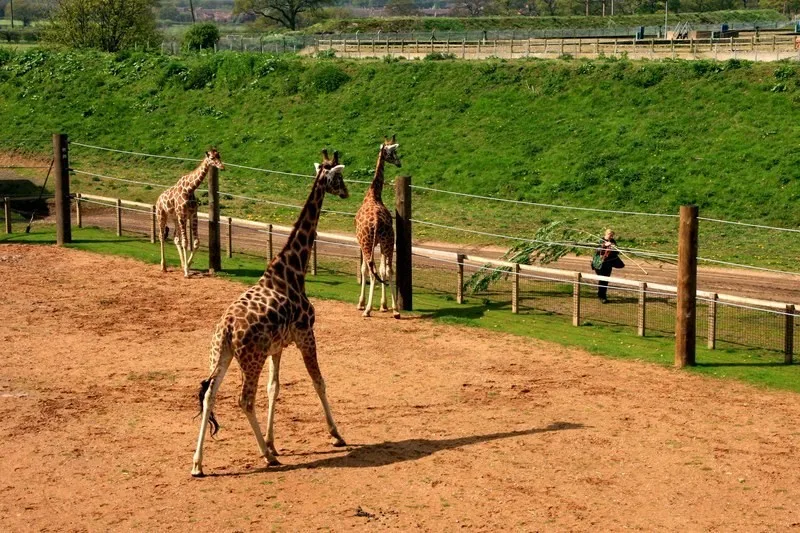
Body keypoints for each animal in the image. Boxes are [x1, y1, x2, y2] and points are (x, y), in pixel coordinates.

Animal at [155, 149, 225, 277]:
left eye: (219, 156)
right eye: (212, 158)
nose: (222, 166)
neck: (189, 189)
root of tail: (158, 199)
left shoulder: (193, 215)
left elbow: (196, 242)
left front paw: (187, 265)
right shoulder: (182, 215)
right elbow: (186, 242)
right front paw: (187, 272)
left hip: (175, 218)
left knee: (175, 238)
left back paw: (182, 264)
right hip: (161, 215)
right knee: (161, 236)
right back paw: (164, 266)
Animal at [191, 150, 349, 477]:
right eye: (338, 176)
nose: (346, 192)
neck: (292, 269)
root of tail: (226, 328)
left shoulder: (278, 346)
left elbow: (273, 389)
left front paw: (274, 442)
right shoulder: (306, 335)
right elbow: (319, 381)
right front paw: (336, 434)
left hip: (221, 354)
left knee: (210, 394)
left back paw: (198, 464)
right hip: (252, 358)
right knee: (244, 400)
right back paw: (266, 457)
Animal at [355, 136, 401, 318]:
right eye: (392, 151)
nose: (399, 162)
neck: (373, 195)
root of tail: (376, 221)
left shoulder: (361, 243)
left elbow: (363, 270)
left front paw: (361, 304)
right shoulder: (381, 243)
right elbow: (383, 270)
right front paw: (384, 305)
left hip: (368, 243)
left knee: (372, 272)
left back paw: (367, 310)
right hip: (389, 241)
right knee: (389, 270)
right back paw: (396, 310)